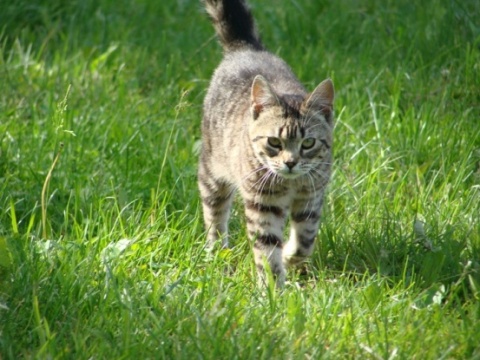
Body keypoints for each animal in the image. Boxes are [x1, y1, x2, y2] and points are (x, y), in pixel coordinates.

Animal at [198, 0, 334, 286]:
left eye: (308, 143)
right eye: (274, 142)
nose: (291, 163)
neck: (291, 185)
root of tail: (246, 48)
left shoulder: (312, 197)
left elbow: (305, 240)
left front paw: (290, 259)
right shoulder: (262, 204)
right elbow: (267, 248)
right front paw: (272, 288)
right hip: (212, 172)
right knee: (214, 216)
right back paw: (217, 251)